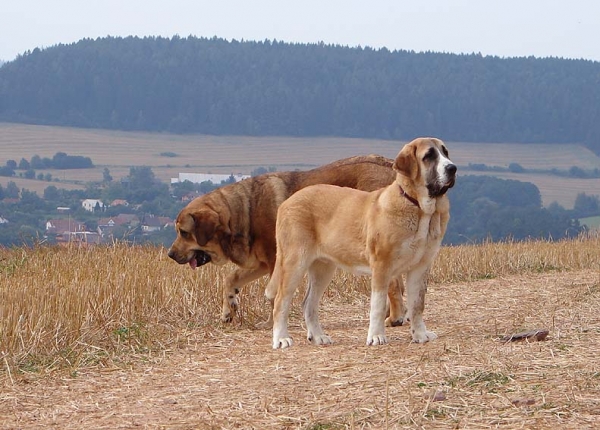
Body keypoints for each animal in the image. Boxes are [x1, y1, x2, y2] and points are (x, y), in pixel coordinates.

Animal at [166, 155, 406, 326]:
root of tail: (390, 165)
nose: (170, 254)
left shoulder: (275, 261)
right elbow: (230, 279)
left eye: (184, 232)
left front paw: (272, 322)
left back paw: (394, 318)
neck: (239, 214)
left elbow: (274, 295)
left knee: (393, 284)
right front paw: (228, 309)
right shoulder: (260, 262)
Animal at [266, 138, 454, 350]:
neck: (419, 208)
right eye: (429, 156)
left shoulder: (420, 267)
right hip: (295, 263)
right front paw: (376, 336)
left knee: (309, 304)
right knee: (281, 301)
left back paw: (319, 337)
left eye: (445, 153)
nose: (452, 168)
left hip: (323, 268)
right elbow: (378, 305)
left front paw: (420, 334)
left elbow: (417, 304)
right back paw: (281, 339)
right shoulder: (382, 266)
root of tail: (287, 202)